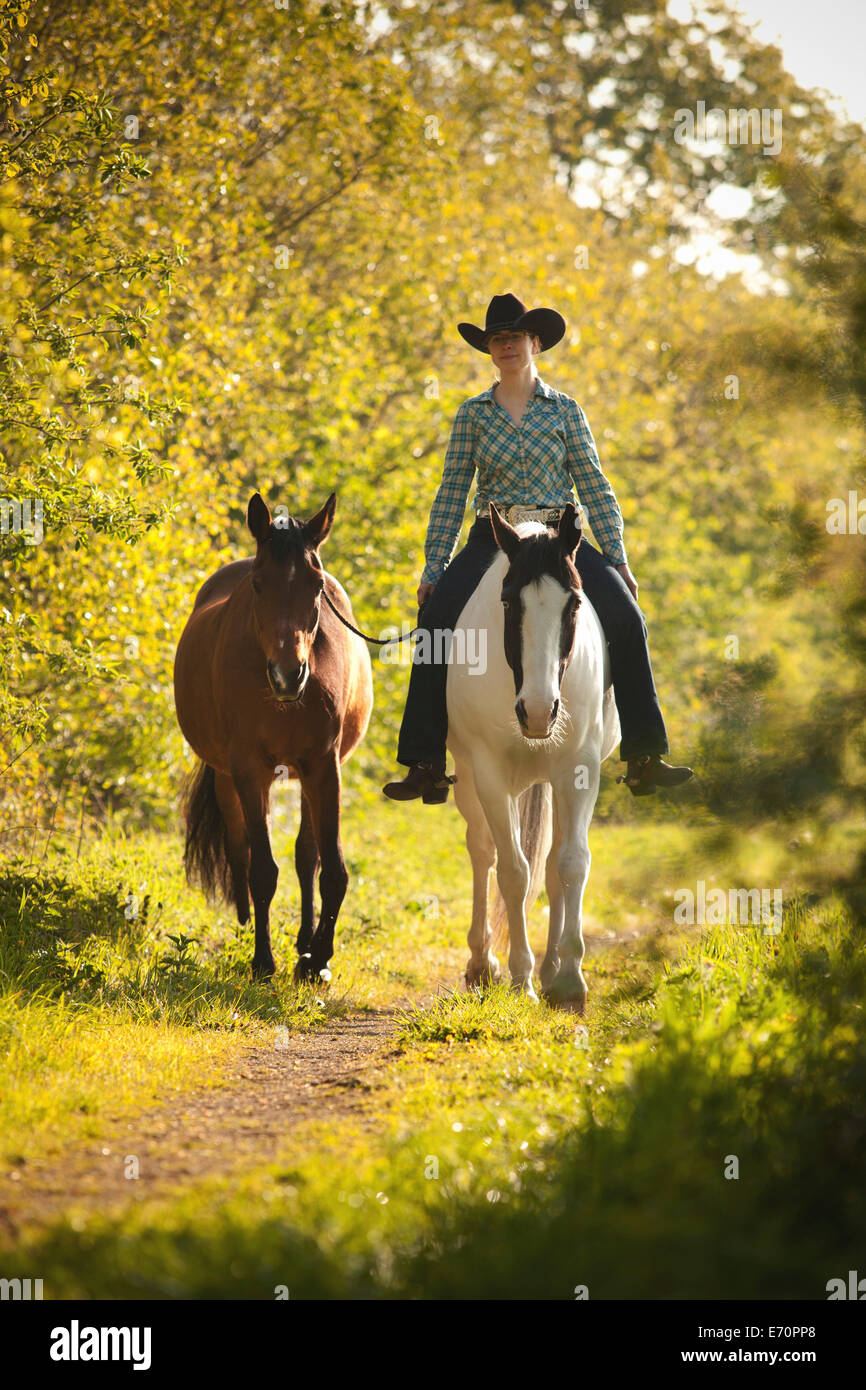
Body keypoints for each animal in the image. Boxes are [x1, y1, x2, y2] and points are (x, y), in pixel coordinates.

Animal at [173, 492, 373, 982]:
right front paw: (263, 960)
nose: (288, 675)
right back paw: (248, 925)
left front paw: (317, 958)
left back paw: (303, 941)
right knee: (241, 848)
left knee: (306, 855)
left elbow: (331, 869)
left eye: (317, 587)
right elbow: (262, 869)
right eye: (259, 585)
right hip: (229, 777)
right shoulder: (249, 771)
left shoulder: (323, 767)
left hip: (304, 776)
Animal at [446, 501, 620, 1013]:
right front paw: (520, 977)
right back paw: (483, 963)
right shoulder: (489, 774)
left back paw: (551, 969)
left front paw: (569, 980)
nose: (540, 711)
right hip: (468, 781)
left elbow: (571, 864)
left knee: (553, 863)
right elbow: (512, 872)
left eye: (575, 604)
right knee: (482, 852)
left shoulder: (579, 771)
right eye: (509, 604)